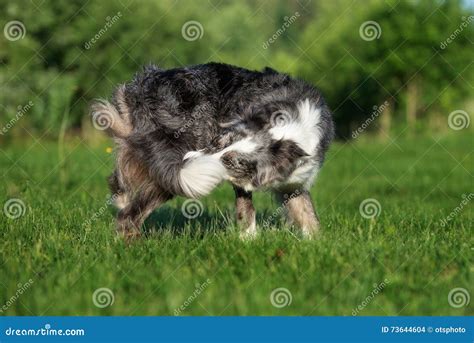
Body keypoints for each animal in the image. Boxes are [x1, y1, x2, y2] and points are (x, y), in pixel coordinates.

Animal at [90, 62, 336, 239]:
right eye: (218, 143)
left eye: (232, 161)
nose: (189, 158)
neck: (291, 132)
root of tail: (143, 85)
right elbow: (246, 210)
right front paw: (249, 242)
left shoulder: (294, 184)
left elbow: (308, 215)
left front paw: (317, 246)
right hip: (172, 169)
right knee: (129, 217)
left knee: (119, 181)